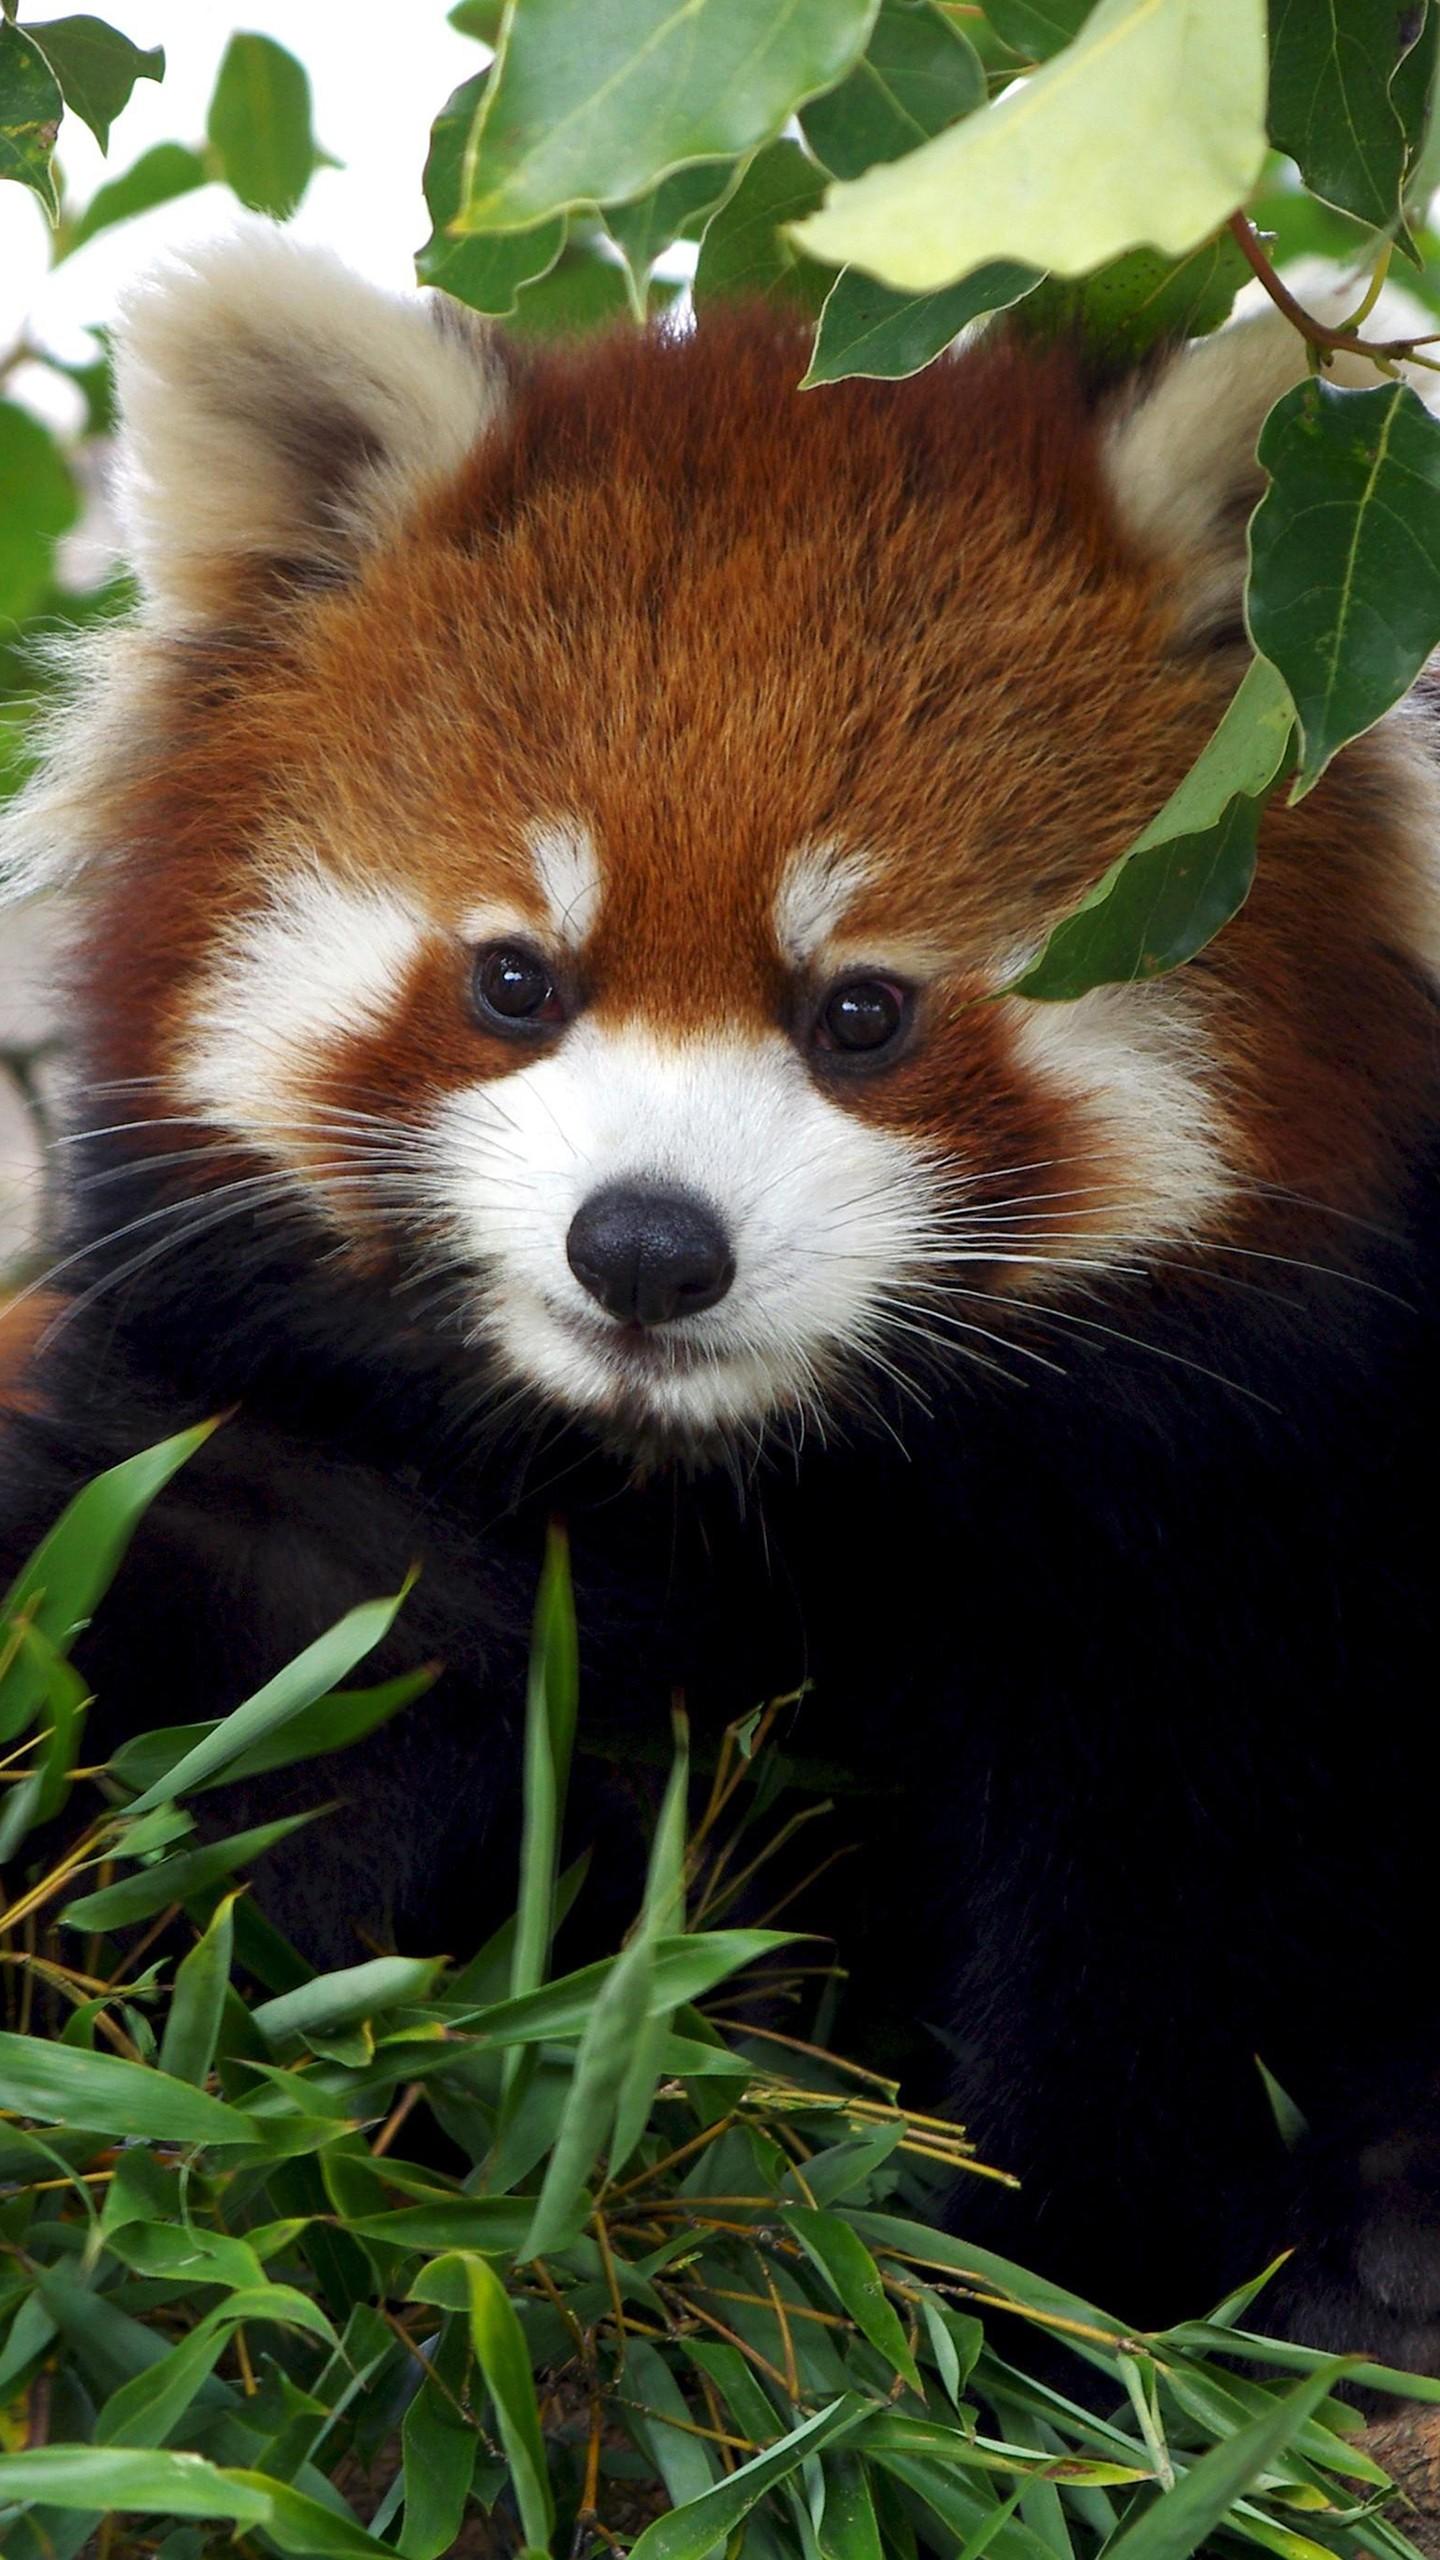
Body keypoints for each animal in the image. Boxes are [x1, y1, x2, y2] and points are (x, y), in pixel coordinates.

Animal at [1, 229, 1437, 2366]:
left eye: (863, 1013)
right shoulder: (256, 1465)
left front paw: (1061, 2296)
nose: (647, 1246)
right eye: (516, 978)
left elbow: (1147, 1952)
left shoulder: (1203, 1557)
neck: (706, 1492)